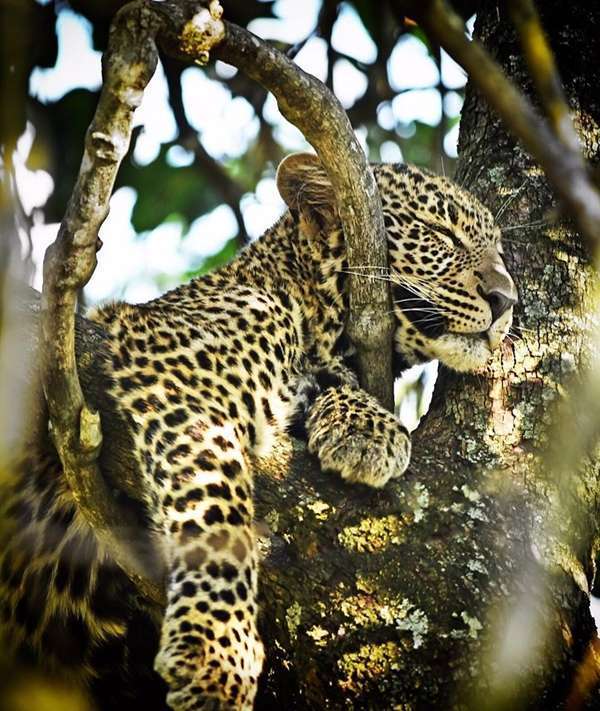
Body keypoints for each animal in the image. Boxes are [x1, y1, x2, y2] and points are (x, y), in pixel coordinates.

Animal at [0, 153, 516, 708]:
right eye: (439, 232)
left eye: (499, 250)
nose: (506, 299)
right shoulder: (165, 351)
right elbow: (215, 504)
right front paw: (215, 655)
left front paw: (362, 427)